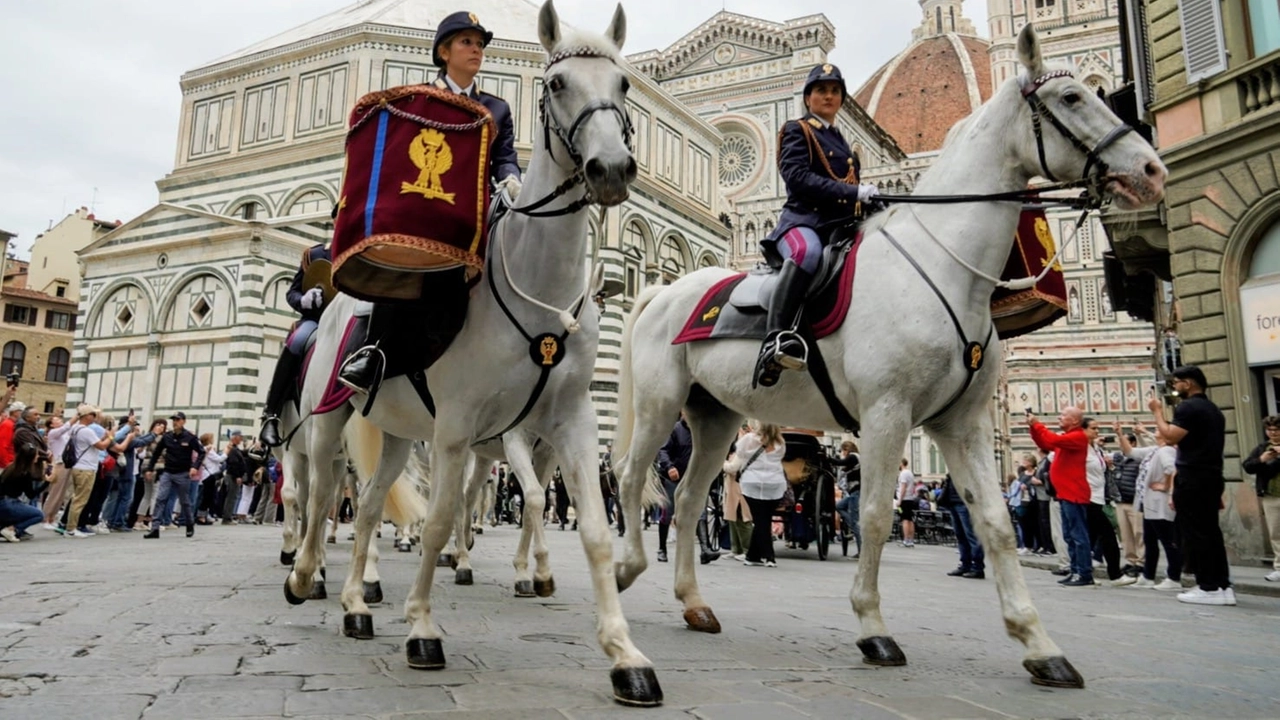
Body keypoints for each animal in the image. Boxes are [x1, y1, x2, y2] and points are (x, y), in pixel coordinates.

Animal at [284, 2, 655, 702]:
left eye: (622, 85)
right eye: (556, 84)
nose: (612, 170)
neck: (541, 292)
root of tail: (341, 303)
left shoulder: (568, 422)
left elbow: (593, 529)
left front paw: (626, 655)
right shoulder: (461, 427)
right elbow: (437, 521)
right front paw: (422, 628)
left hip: (397, 432)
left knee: (368, 506)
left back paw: (355, 605)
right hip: (329, 420)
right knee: (319, 499)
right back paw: (304, 576)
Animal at [614, 25, 1167, 686]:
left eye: (1096, 90)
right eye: (1071, 98)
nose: (1151, 168)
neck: (944, 265)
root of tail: (664, 291)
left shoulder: (961, 421)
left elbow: (996, 523)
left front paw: (1038, 644)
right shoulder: (887, 411)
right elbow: (875, 514)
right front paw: (874, 629)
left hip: (715, 414)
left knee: (691, 500)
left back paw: (694, 604)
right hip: (658, 402)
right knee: (633, 478)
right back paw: (623, 570)